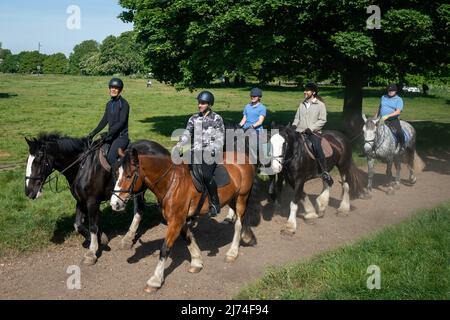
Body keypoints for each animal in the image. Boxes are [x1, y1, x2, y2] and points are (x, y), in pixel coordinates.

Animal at [24, 133, 145, 264]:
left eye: (38, 160)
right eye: (28, 160)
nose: (29, 192)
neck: (82, 166)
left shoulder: (92, 201)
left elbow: (92, 226)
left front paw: (92, 252)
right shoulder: (81, 200)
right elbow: (78, 225)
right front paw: (100, 238)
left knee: (139, 210)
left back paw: (128, 238)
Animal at [110, 140, 256, 292]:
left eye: (129, 175)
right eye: (116, 173)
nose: (114, 204)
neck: (171, 181)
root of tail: (245, 159)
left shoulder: (175, 221)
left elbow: (165, 249)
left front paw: (155, 280)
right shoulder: (179, 218)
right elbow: (188, 238)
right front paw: (197, 262)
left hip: (242, 197)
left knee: (238, 224)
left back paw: (232, 252)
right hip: (232, 198)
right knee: (242, 218)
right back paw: (247, 236)